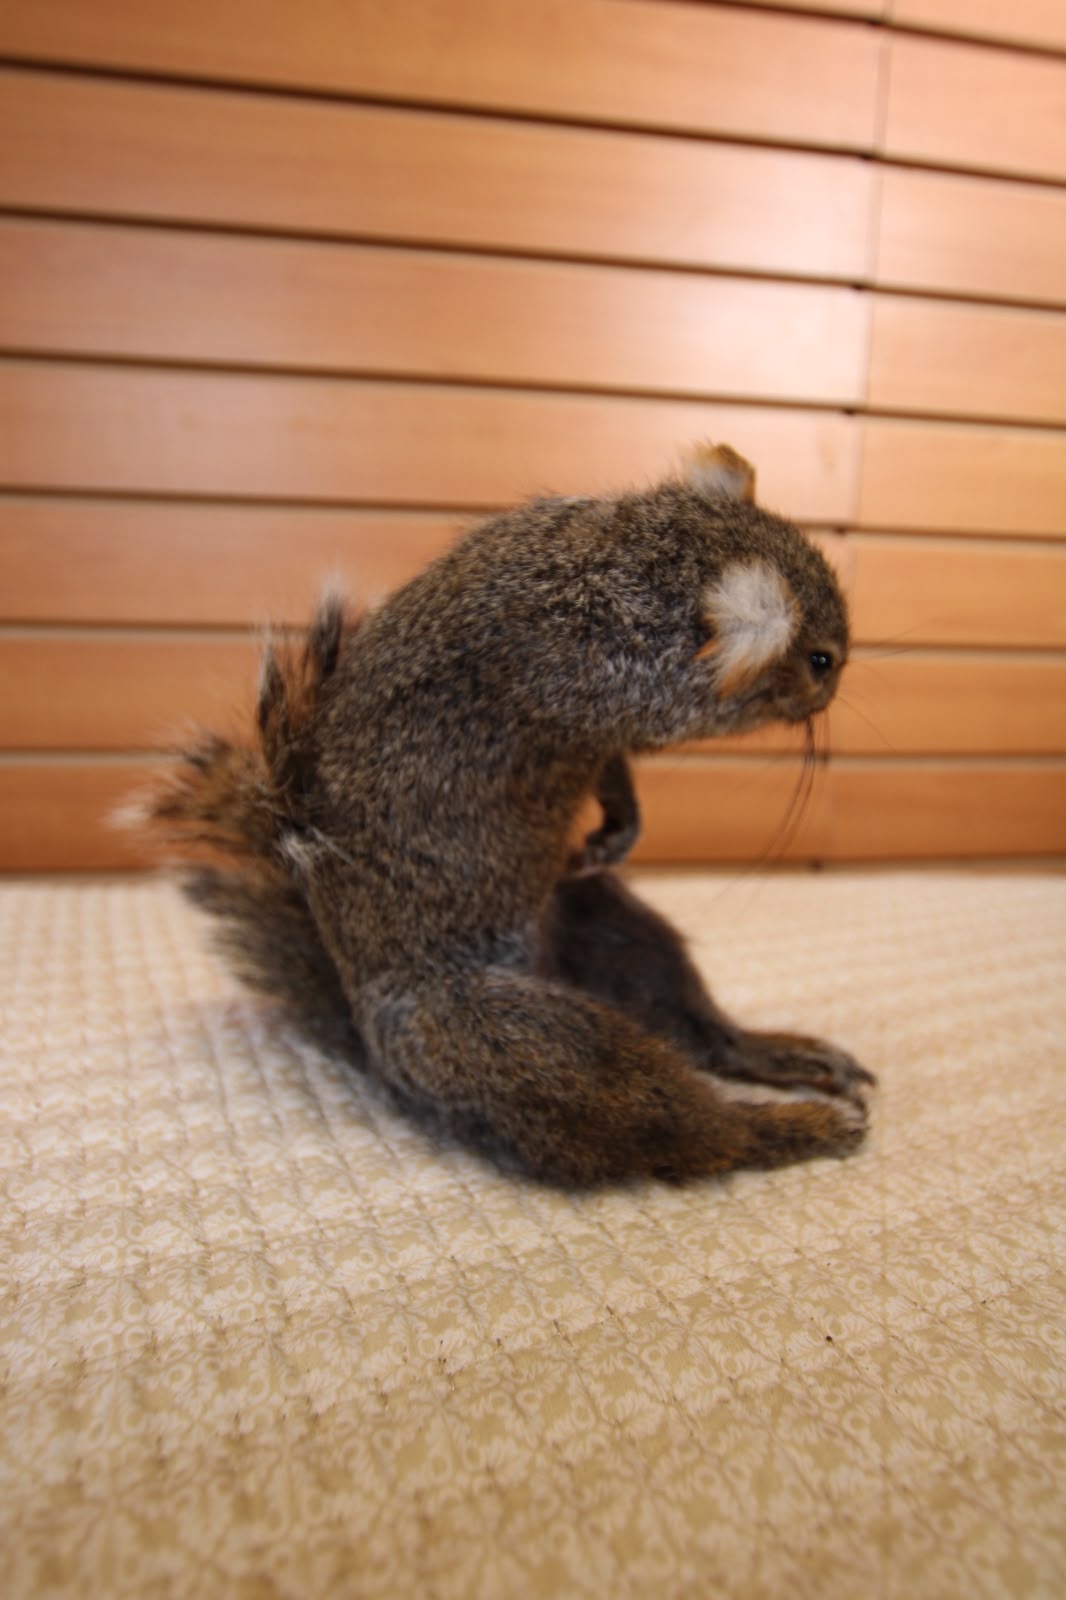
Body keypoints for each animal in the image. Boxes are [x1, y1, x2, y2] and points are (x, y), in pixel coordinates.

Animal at [140, 442, 874, 1187]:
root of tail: (374, 1045)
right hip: (519, 1043)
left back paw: (777, 1053)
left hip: (611, 929)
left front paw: (620, 828)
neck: (643, 559)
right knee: (679, 1128)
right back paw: (795, 1127)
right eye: (820, 660)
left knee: (696, 1028)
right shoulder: (598, 684)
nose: (835, 688)